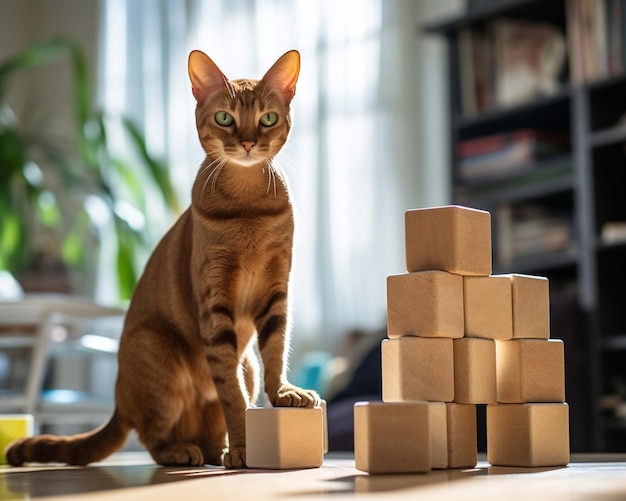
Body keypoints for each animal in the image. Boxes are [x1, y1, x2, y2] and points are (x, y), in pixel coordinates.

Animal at [8, 49, 322, 468]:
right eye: (225, 118)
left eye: (267, 119)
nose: (248, 143)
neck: (248, 210)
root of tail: (119, 404)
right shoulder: (215, 303)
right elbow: (233, 395)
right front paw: (244, 448)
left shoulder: (275, 293)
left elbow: (275, 351)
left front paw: (284, 394)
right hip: (158, 354)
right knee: (153, 438)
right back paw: (185, 451)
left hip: (246, 365)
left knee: (212, 422)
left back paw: (216, 450)